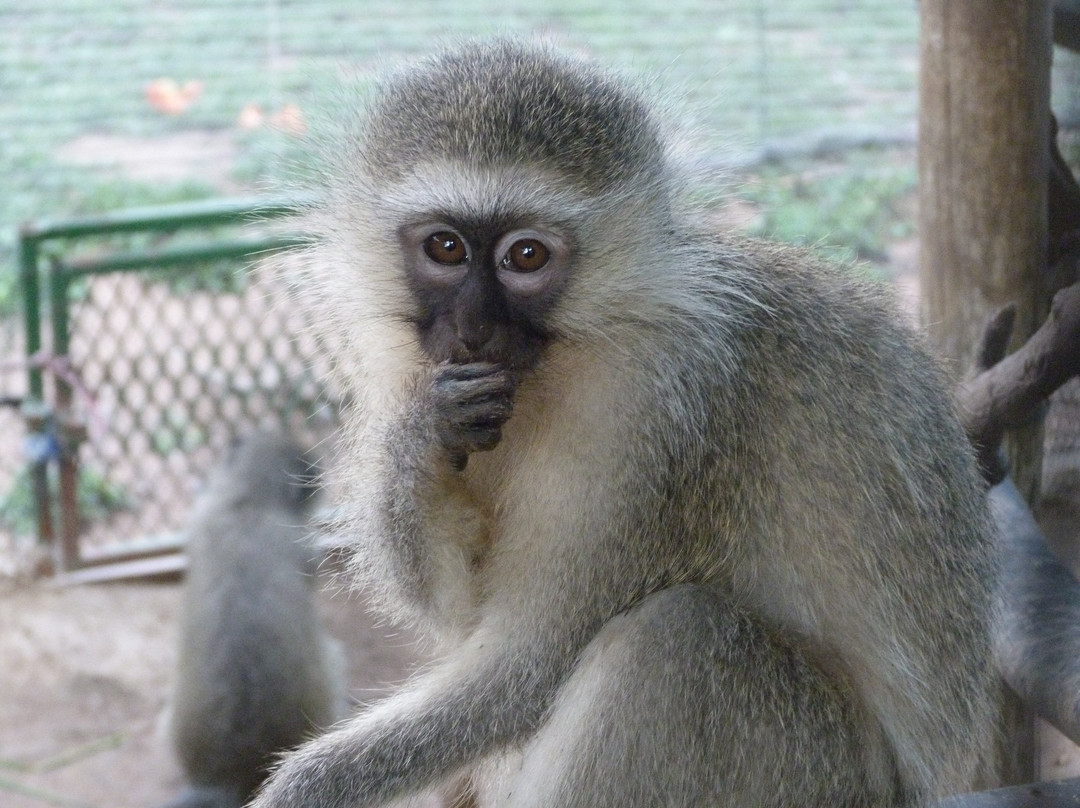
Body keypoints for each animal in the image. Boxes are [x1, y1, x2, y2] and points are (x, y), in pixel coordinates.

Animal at [252, 39, 999, 808]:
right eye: (446, 248)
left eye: (526, 256)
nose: (474, 328)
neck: (569, 355)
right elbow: (459, 609)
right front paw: (423, 438)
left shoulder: (649, 412)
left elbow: (528, 665)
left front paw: (305, 788)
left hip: (818, 773)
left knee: (675, 640)